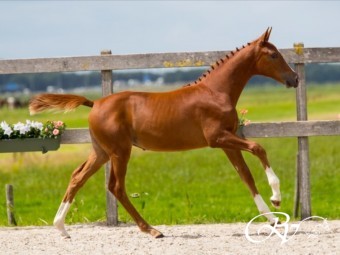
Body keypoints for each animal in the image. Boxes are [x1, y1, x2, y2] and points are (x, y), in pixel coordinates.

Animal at [30, 28, 298, 238]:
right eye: (274, 55)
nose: (294, 78)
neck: (216, 92)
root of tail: (94, 103)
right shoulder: (217, 138)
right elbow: (258, 148)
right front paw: (276, 198)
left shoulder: (227, 143)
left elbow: (246, 176)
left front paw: (273, 218)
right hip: (119, 151)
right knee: (116, 186)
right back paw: (151, 229)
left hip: (101, 152)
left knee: (78, 177)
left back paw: (61, 228)